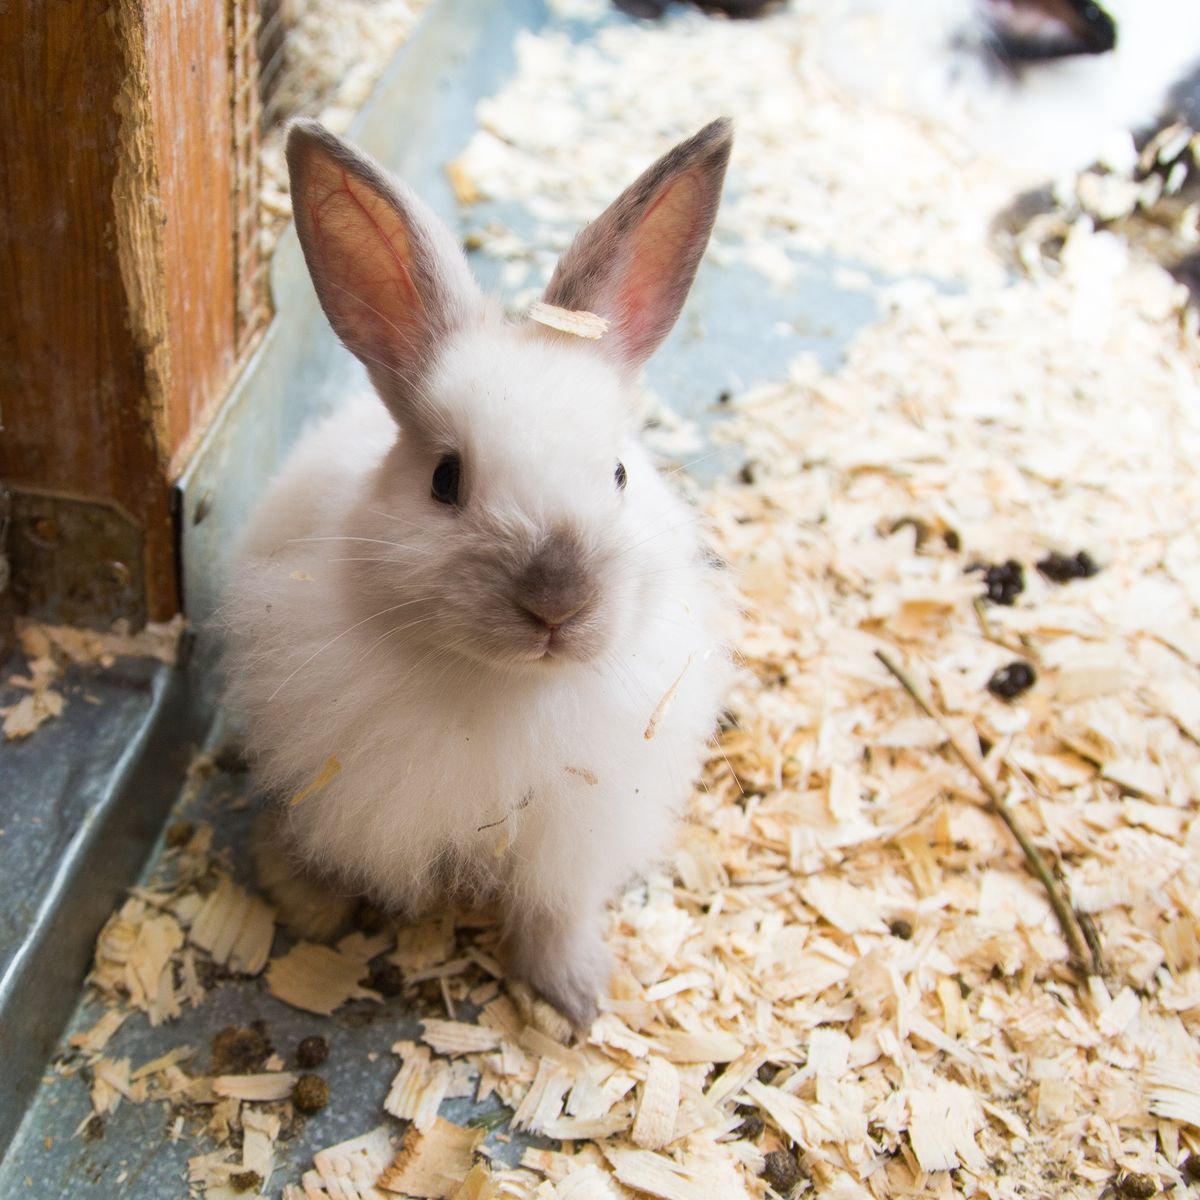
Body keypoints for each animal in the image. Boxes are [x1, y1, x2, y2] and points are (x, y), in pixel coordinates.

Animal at [224, 118, 736, 1028]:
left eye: (618, 473)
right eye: (445, 479)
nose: (557, 602)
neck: (505, 689)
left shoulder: (573, 838)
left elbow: (554, 912)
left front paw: (576, 997)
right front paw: (310, 908)